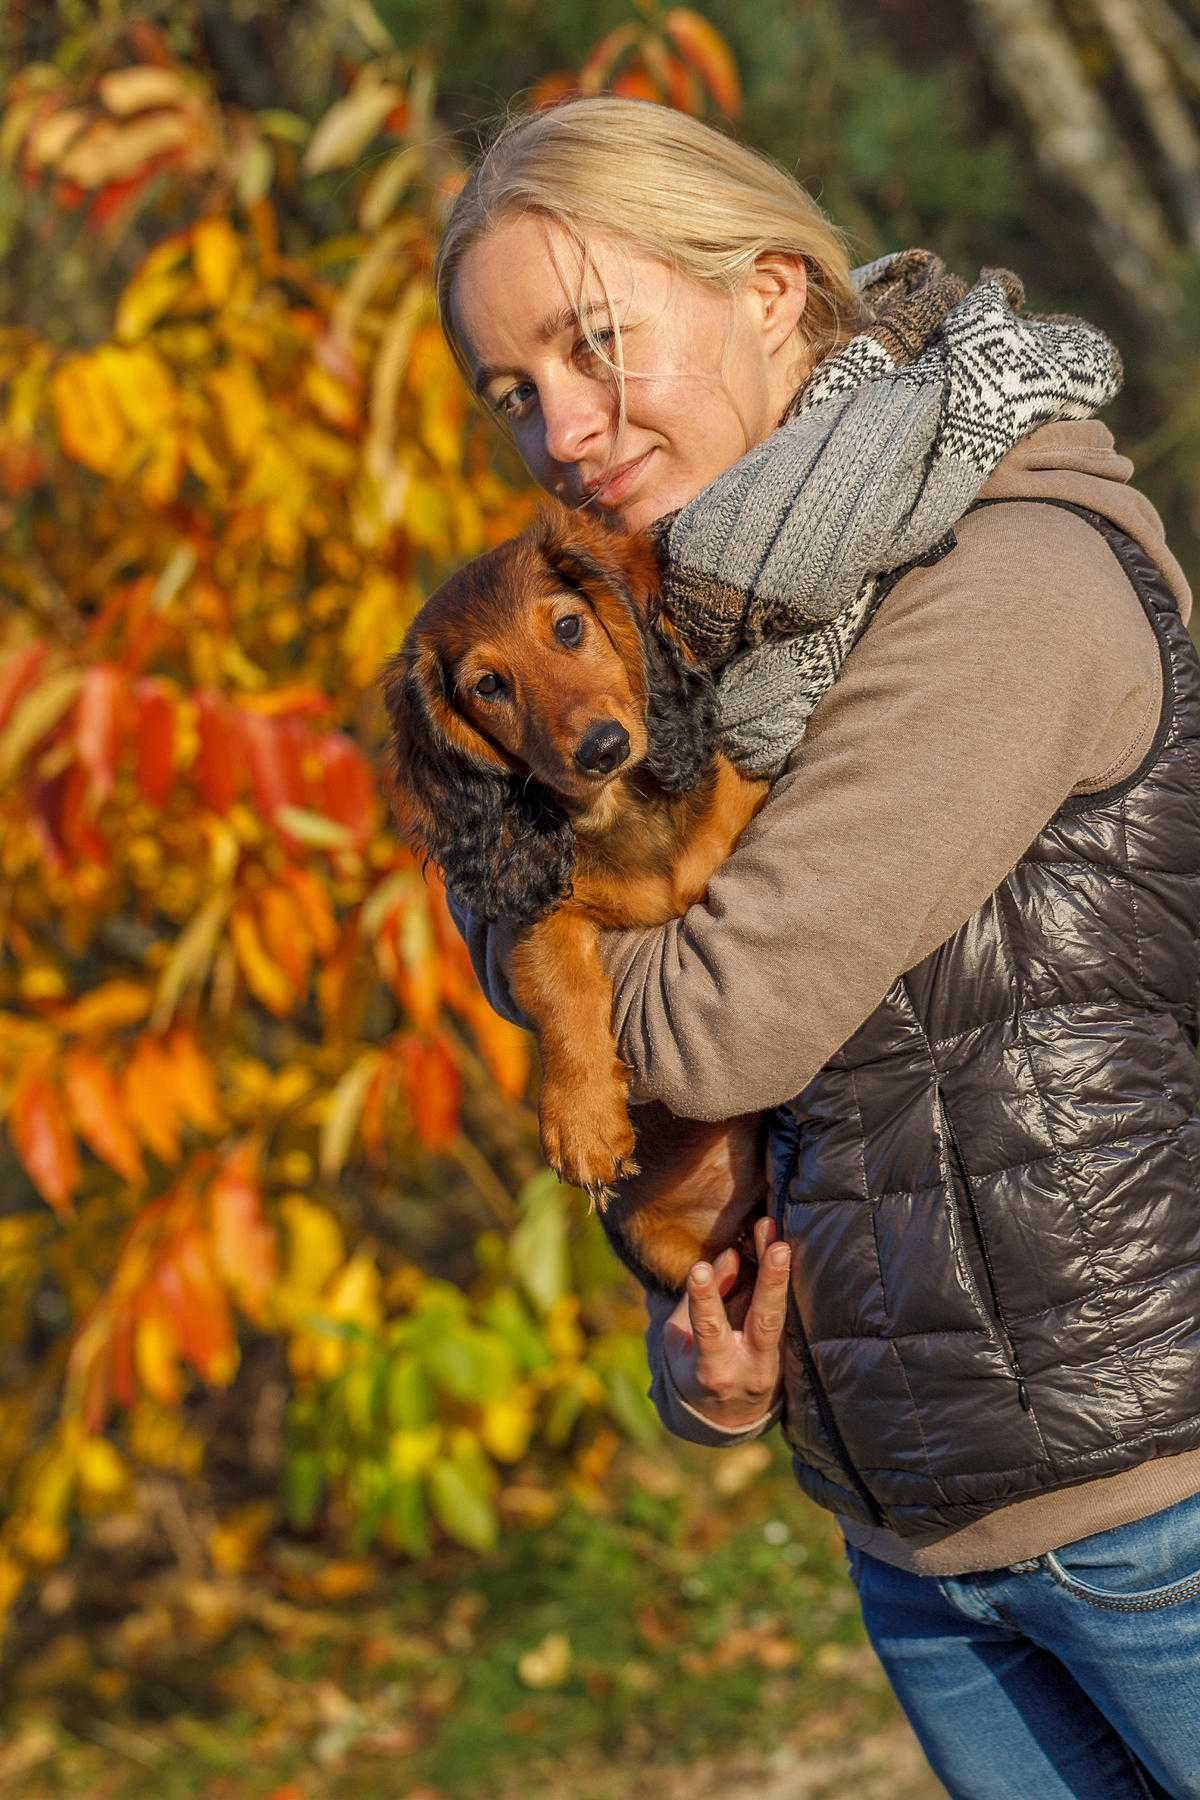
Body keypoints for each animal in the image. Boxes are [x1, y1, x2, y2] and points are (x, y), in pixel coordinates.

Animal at [383, 496, 770, 1296]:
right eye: (488, 686)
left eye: (567, 628)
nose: (602, 749)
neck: (624, 811)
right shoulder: (538, 914)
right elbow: (565, 990)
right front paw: (583, 1123)